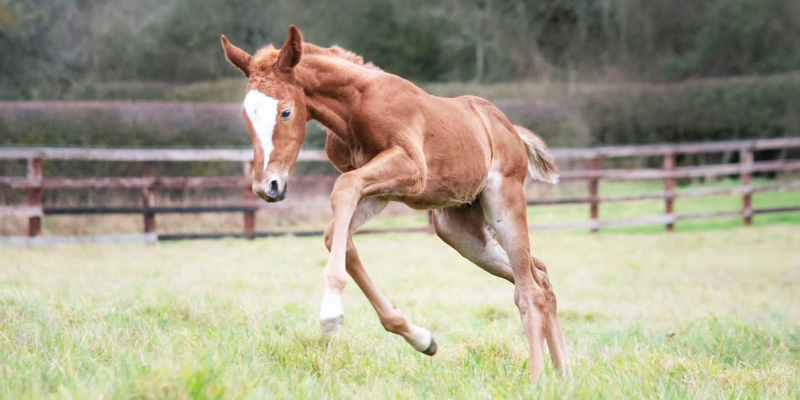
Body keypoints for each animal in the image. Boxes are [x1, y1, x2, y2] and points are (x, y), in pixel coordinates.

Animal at [219, 25, 568, 384]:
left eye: (286, 111)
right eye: (246, 115)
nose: (267, 187)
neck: (355, 103)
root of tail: (510, 129)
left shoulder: (411, 169)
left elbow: (342, 189)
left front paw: (331, 313)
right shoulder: (380, 192)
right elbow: (337, 234)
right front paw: (423, 339)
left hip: (503, 201)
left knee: (529, 290)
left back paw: (537, 381)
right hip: (461, 231)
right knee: (539, 275)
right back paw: (563, 376)